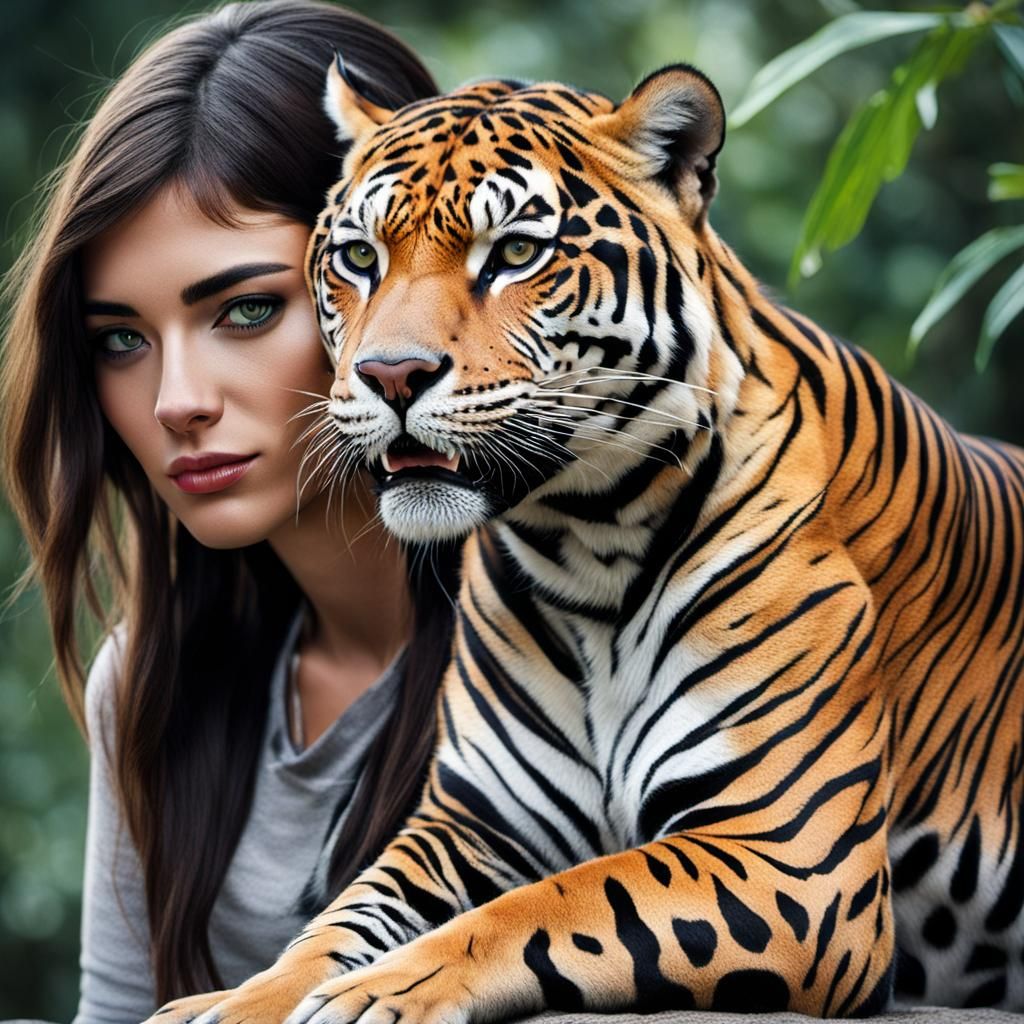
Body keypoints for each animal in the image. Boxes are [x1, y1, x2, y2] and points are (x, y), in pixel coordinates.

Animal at [152, 59, 1024, 1024]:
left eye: (514, 256)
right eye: (360, 258)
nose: (391, 376)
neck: (586, 545)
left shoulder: (790, 855)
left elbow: (555, 902)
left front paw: (378, 994)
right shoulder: (473, 821)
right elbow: (343, 918)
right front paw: (241, 999)